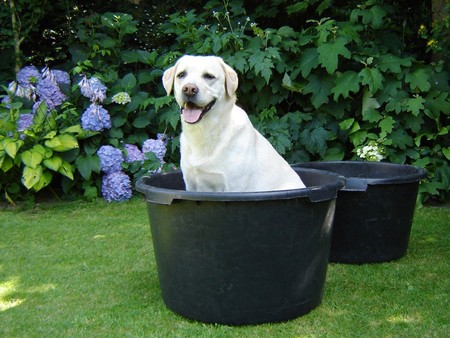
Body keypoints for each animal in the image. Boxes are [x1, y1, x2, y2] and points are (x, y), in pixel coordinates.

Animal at [162, 55, 306, 193]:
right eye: (181, 74)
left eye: (209, 76)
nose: (189, 89)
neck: (206, 131)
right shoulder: (191, 185)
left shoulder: (234, 188)